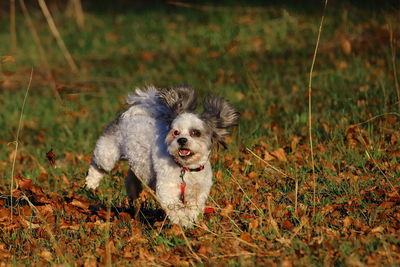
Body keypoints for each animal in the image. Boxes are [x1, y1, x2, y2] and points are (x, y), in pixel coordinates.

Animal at [85, 85, 239, 227]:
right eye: (175, 132)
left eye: (195, 132)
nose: (182, 140)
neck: (185, 168)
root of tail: (133, 114)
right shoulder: (167, 187)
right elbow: (175, 207)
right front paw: (183, 222)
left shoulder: (198, 190)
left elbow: (194, 206)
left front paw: (190, 219)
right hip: (107, 154)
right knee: (97, 164)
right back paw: (91, 183)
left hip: (136, 166)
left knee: (131, 179)